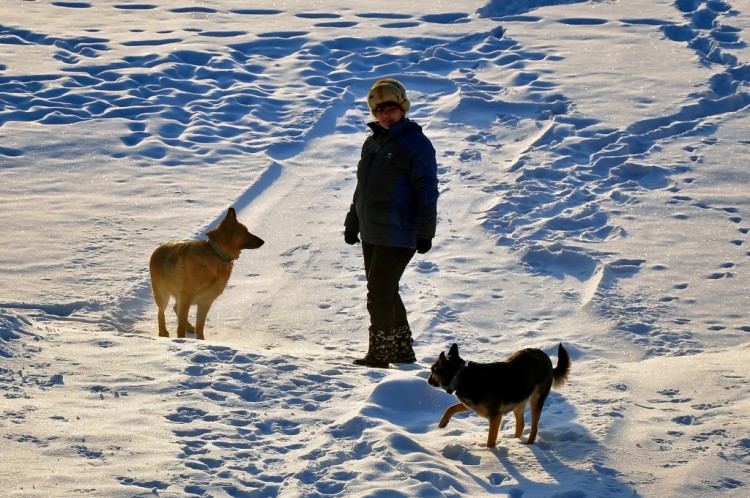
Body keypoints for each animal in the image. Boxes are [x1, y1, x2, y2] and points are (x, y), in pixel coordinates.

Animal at [149, 208, 264, 340]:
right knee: (161, 312)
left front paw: (200, 341)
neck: (217, 254)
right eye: (245, 232)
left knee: (175, 308)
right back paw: (163, 332)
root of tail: (158, 249)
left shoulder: (205, 302)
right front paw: (182, 340)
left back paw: (189, 327)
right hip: (162, 295)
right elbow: (180, 327)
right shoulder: (186, 298)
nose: (263, 241)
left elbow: (200, 327)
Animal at [428, 342, 568, 448]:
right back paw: (515, 441)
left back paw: (528, 445)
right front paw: (443, 422)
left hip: (536, 400)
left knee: (534, 428)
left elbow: (490, 441)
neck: (462, 377)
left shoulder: (495, 416)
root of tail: (547, 359)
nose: (428, 380)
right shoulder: (470, 405)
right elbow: (451, 408)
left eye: (432, 370)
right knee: (521, 424)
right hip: (519, 401)